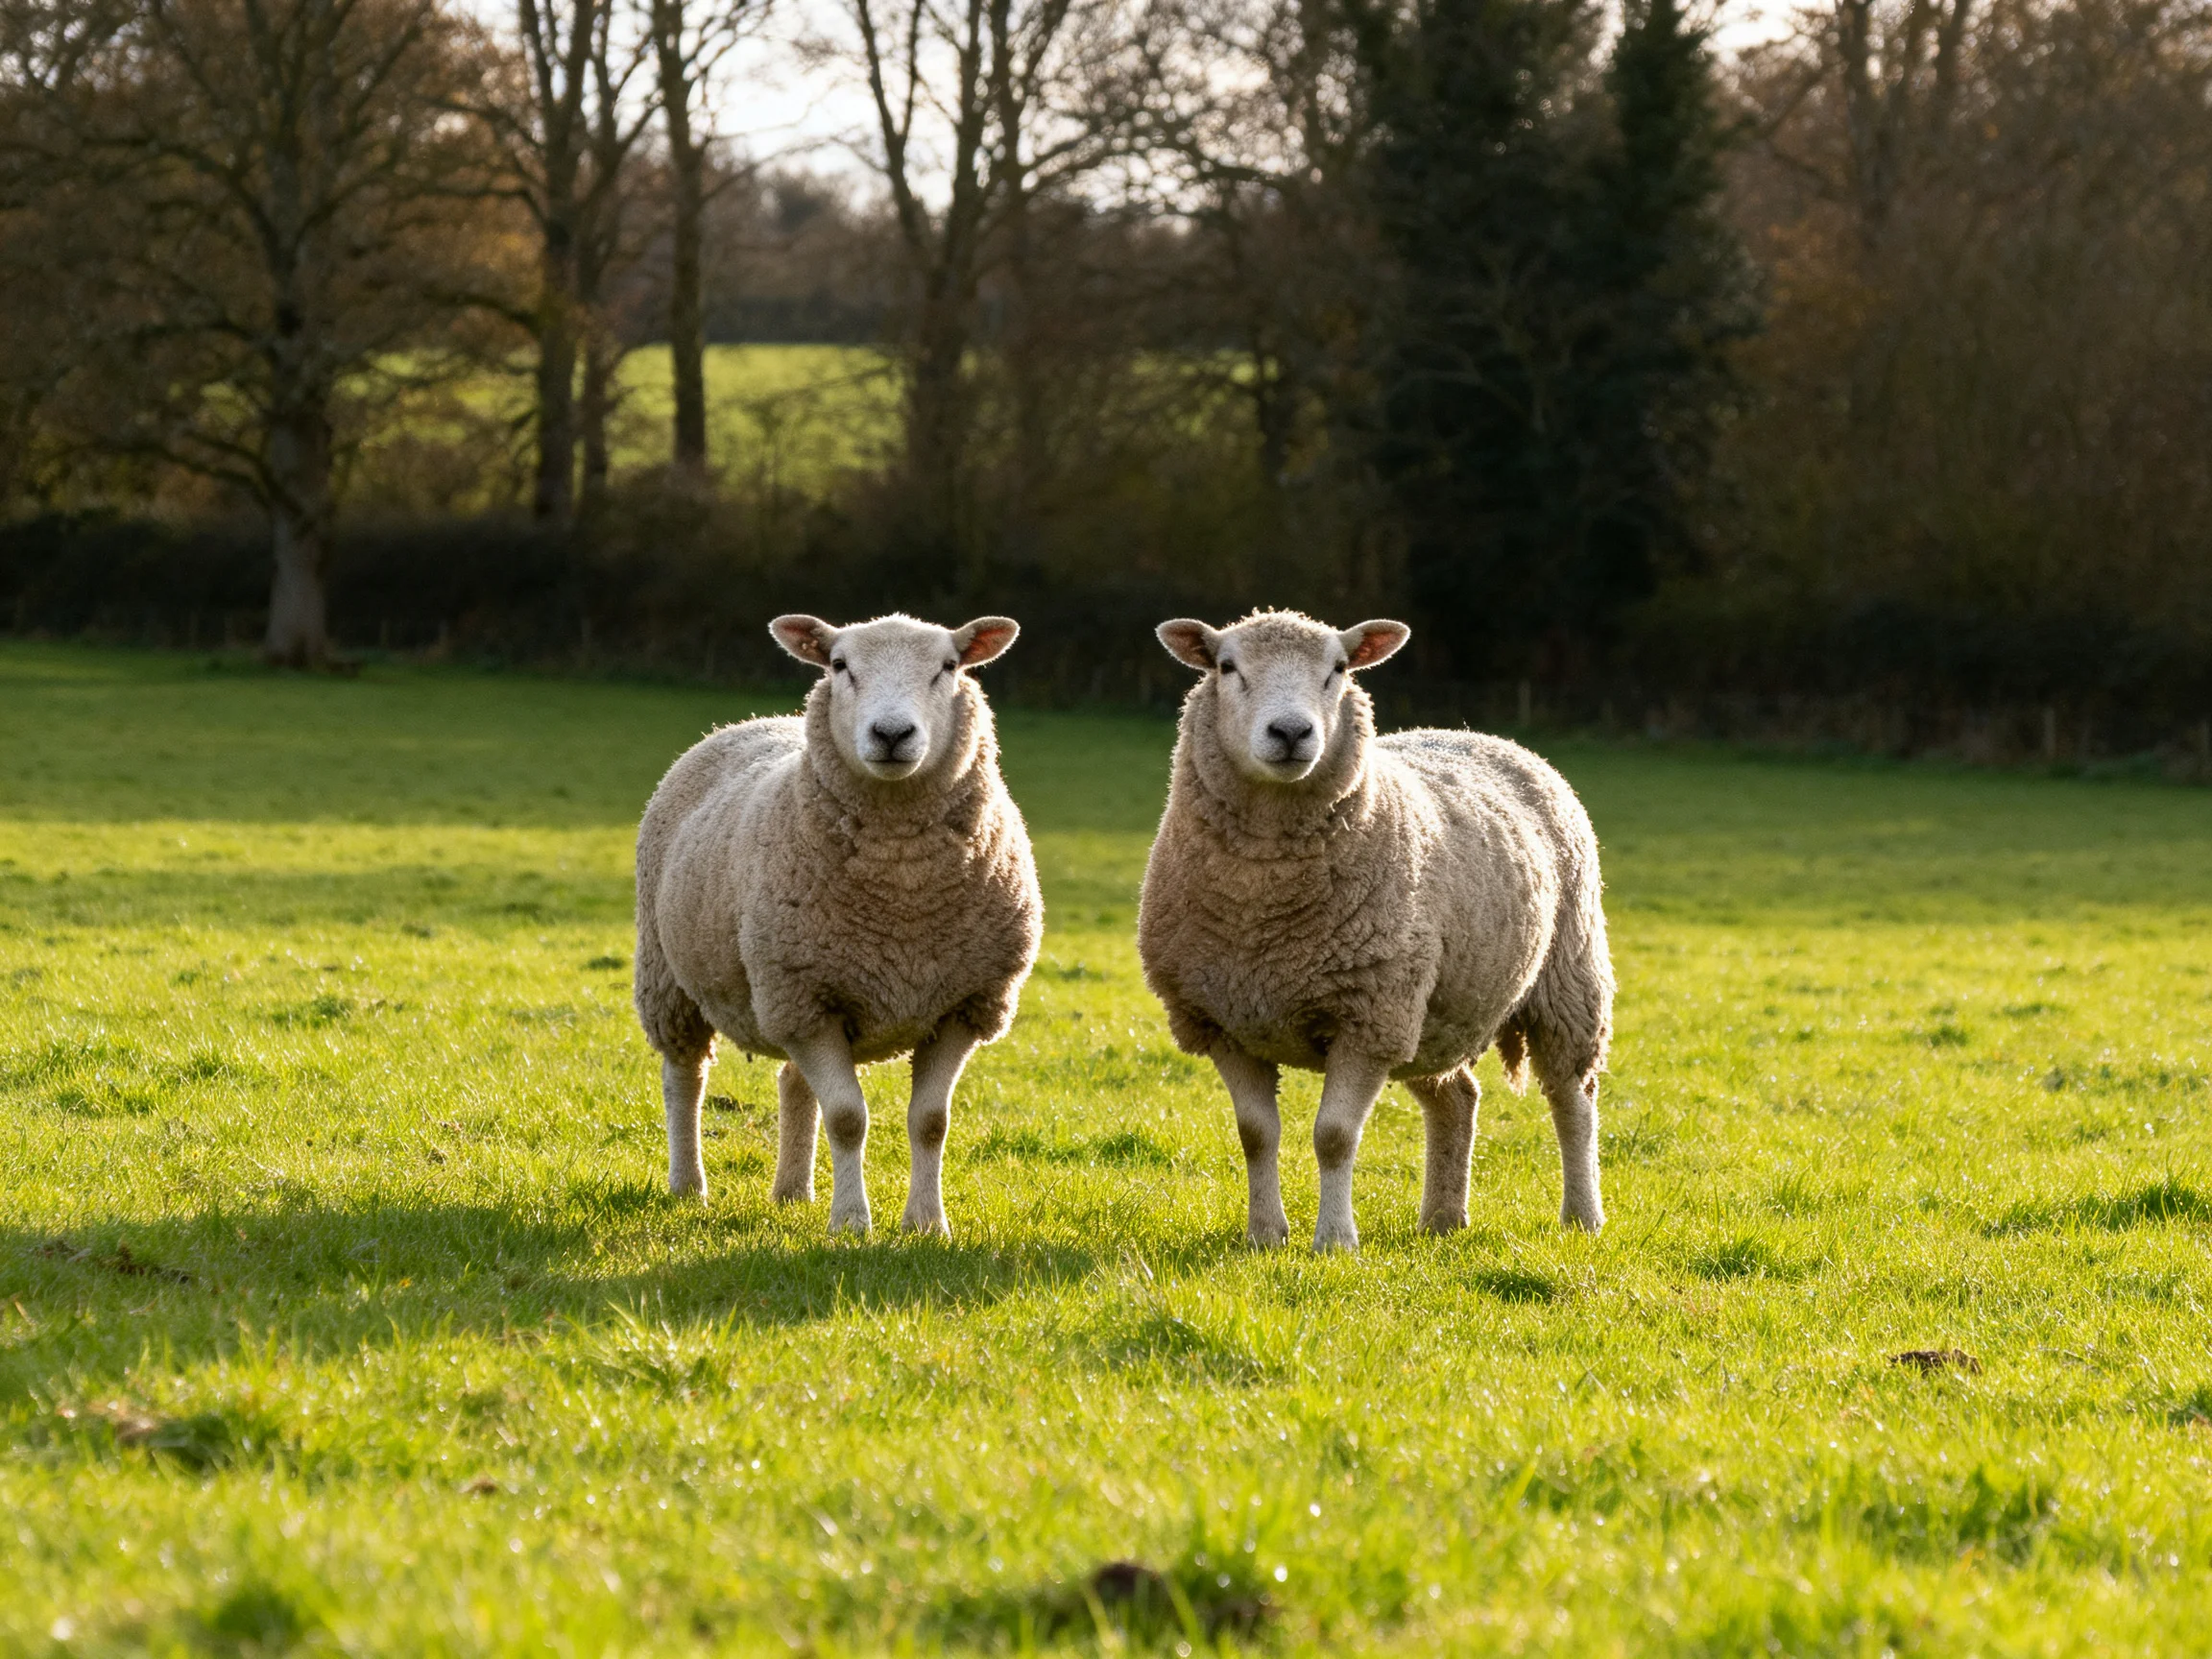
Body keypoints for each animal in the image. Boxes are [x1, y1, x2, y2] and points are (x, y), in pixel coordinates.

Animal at [632, 613, 1042, 1237]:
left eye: (948, 666)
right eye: (839, 665)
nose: (892, 734)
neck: (902, 888)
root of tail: (747, 722)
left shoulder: (963, 1005)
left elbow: (931, 1121)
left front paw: (927, 1224)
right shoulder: (806, 1001)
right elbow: (848, 1118)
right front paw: (851, 1223)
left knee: (793, 1083)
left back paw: (792, 1193)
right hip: (673, 979)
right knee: (684, 1078)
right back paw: (689, 1186)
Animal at [1137, 609, 1613, 1251]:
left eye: (1338, 669)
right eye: (1226, 666)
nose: (1291, 733)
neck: (1262, 911)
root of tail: (1483, 736)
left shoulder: (1367, 1019)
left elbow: (1335, 1136)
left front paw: (1335, 1242)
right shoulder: (1224, 1022)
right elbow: (1255, 1134)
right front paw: (1265, 1236)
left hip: (1566, 978)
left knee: (1572, 1100)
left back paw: (1582, 1216)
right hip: (1432, 1013)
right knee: (1457, 1097)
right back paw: (1443, 1219)